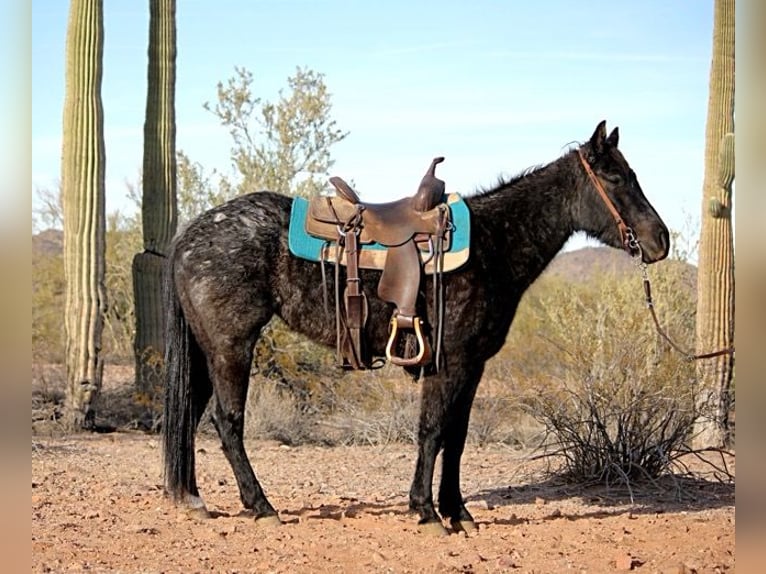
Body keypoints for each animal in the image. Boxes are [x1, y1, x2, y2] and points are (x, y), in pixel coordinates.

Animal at [164, 120, 672, 536]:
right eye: (616, 178)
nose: (661, 240)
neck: (494, 244)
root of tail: (187, 235)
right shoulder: (449, 361)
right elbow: (432, 430)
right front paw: (427, 512)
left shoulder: (472, 366)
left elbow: (457, 436)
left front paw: (457, 512)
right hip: (232, 346)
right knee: (228, 421)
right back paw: (261, 506)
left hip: (208, 350)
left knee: (192, 412)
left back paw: (192, 498)